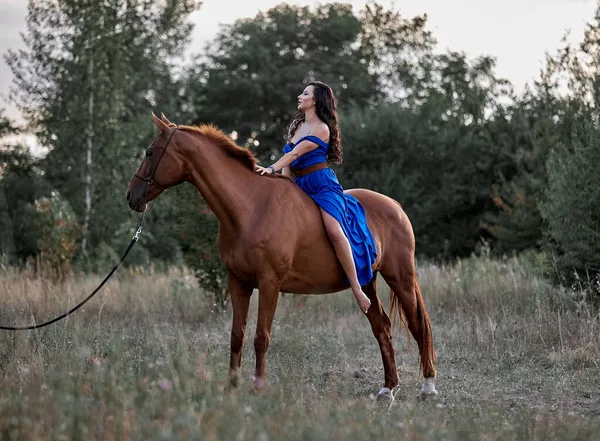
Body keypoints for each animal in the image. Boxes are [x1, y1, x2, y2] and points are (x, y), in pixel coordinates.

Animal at [126, 113, 436, 398]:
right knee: (382, 327)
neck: (251, 207)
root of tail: (395, 205)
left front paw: (258, 388)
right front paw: (231, 388)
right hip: (367, 283)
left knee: (418, 325)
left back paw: (428, 387)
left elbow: (261, 337)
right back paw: (388, 388)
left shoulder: (269, 283)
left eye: (150, 152)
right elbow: (237, 337)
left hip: (401, 278)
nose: (131, 197)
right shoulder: (237, 282)